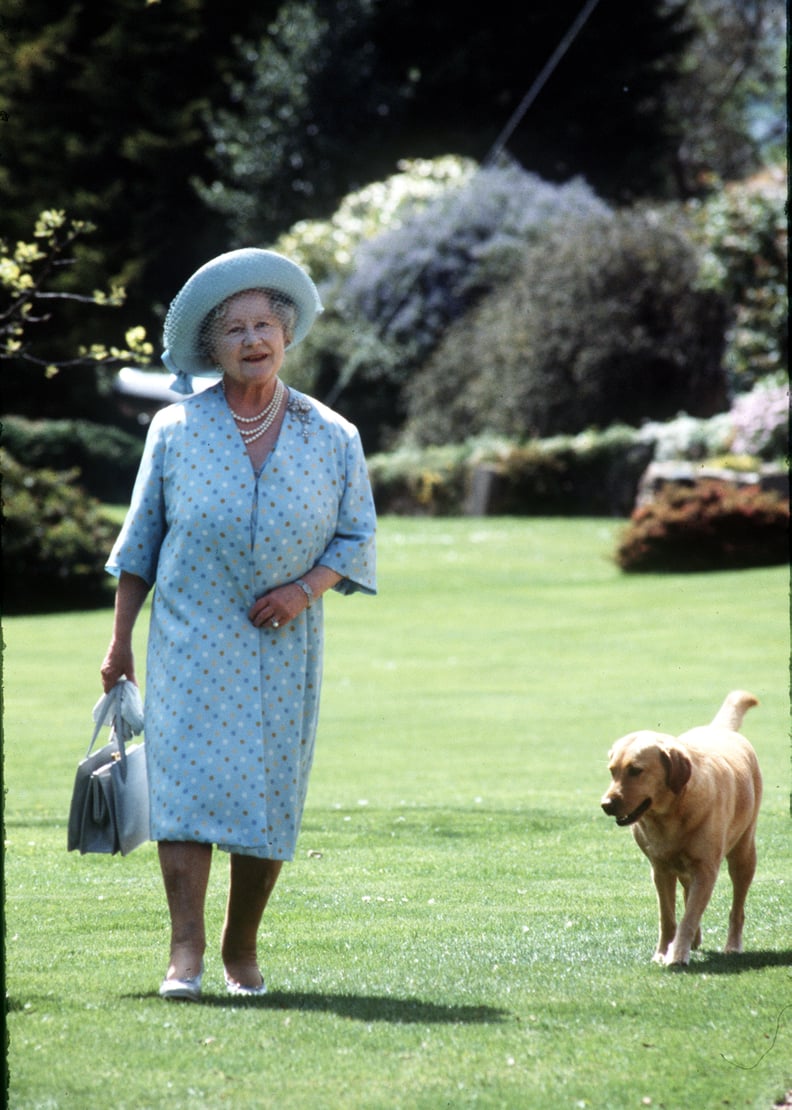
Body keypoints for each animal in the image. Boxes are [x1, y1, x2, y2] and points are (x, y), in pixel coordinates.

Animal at [598, 688, 758, 967]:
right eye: (612, 771)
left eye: (635, 770)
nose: (605, 805)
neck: (669, 816)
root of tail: (717, 729)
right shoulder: (660, 870)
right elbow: (668, 917)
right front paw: (663, 952)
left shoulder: (706, 870)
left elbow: (689, 916)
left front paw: (677, 954)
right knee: (686, 892)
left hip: (743, 855)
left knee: (737, 908)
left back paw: (732, 945)